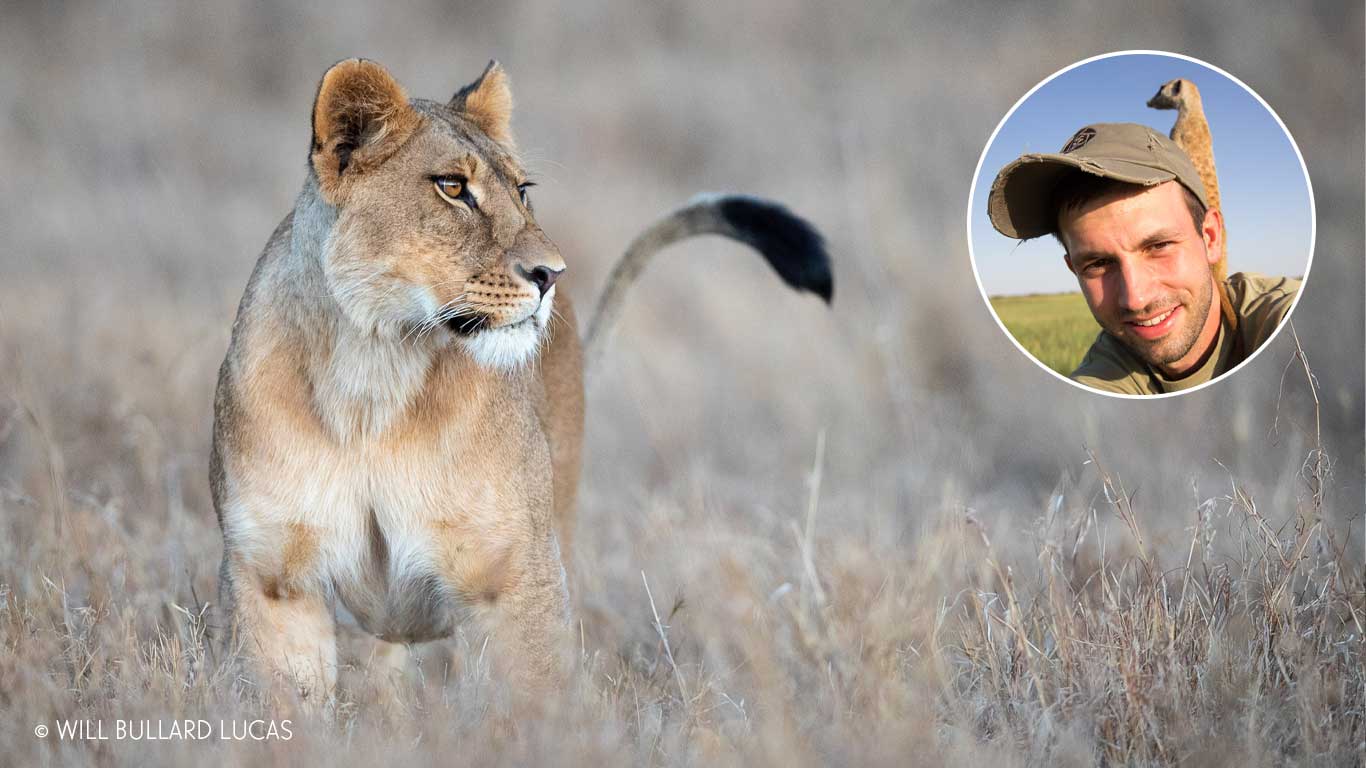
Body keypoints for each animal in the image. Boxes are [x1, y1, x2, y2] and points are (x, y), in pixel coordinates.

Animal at [210, 58, 832, 704]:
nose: (551, 274)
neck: (373, 375)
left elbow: (530, 704)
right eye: (452, 187)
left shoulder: (514, 573)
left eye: (523, 190)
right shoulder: (272, 577)